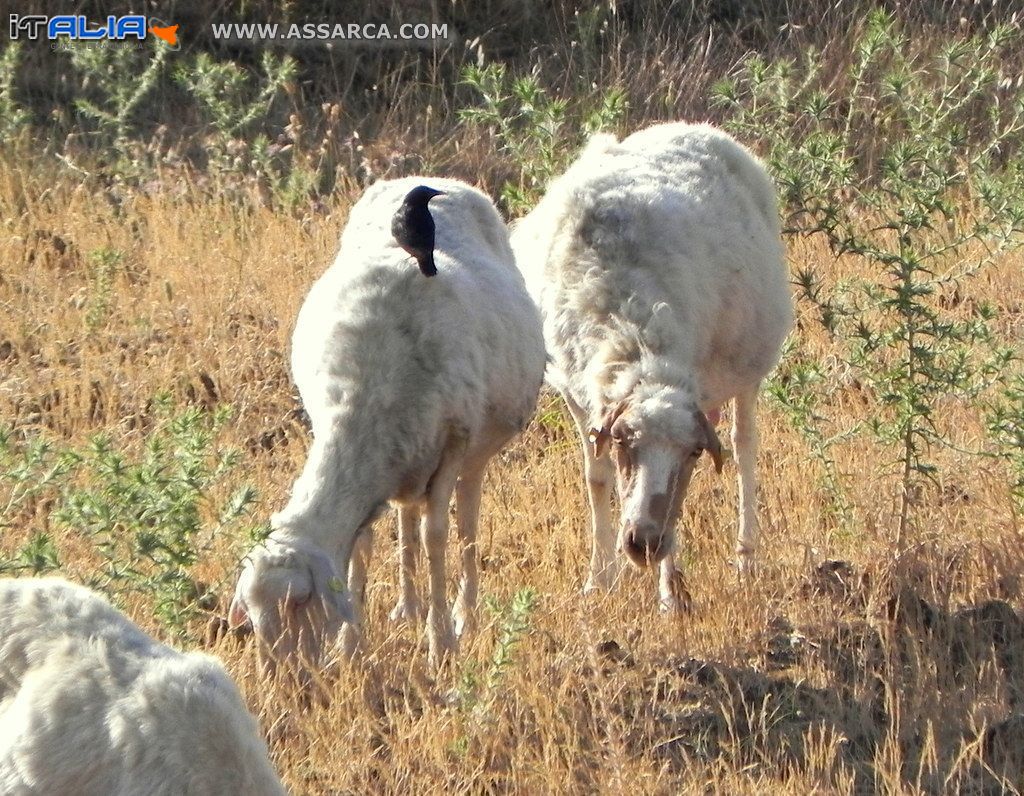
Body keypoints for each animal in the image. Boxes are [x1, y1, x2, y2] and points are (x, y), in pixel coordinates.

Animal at [229, 177, 548, 667]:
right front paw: (351, 645)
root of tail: (442, 182)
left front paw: (441, 645)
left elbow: (437, 536)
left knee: (466, 524)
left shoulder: (452, 443)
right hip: (410, 453)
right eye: (248, 608)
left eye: (299, 600)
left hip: (473, 450)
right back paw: (407, 607)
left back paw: (465, 615)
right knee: (406, 514)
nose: (284, 678)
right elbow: (363, 544)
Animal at [512, 122, 790, 610]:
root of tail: (689, 126)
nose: (644, 543)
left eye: (694, 452)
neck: (635, 331)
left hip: (747, 366)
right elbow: (596, 478)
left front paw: (669, 595)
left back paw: (746, 557)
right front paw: (600, 579)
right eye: (623, 441)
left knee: (744, 447)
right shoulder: (577, 394)